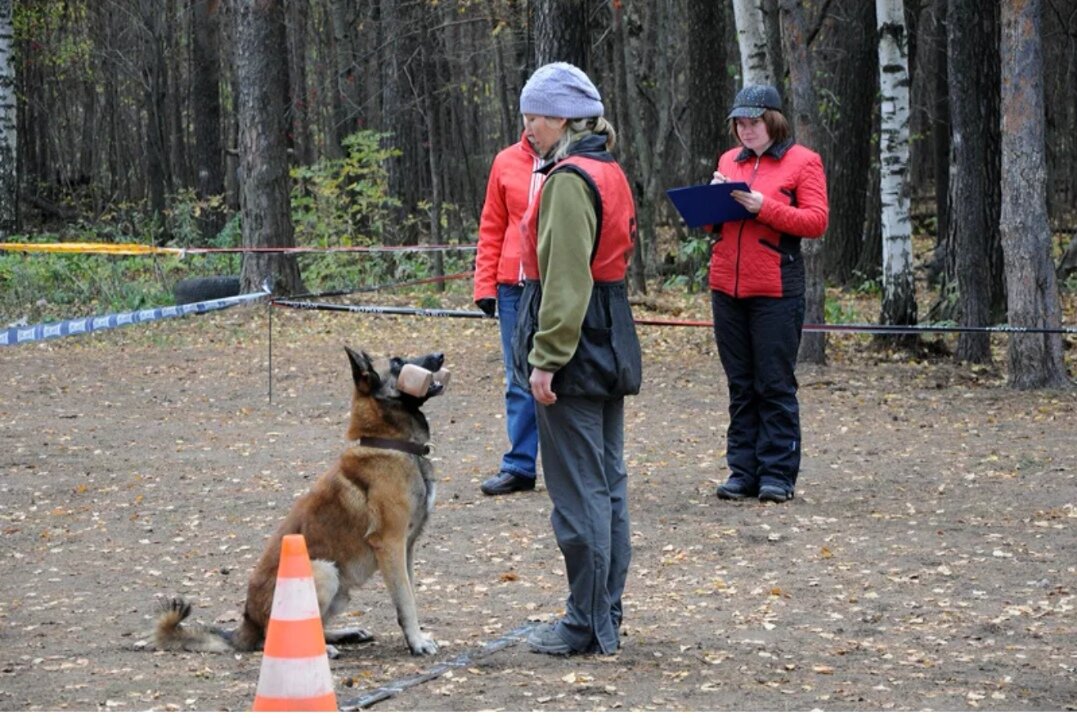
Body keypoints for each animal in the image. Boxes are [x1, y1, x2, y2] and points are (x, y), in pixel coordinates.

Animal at [155, 348, 445, 658]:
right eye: (397, 363)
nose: (439, 355)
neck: (390, 444)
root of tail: (248, 623)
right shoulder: (390, 544)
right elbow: (405, 601)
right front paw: (417, 642)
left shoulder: (406, 547)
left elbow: (409, 594)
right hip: (324, 571)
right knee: (274, 637)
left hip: (340, 588)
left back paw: (343, 635)